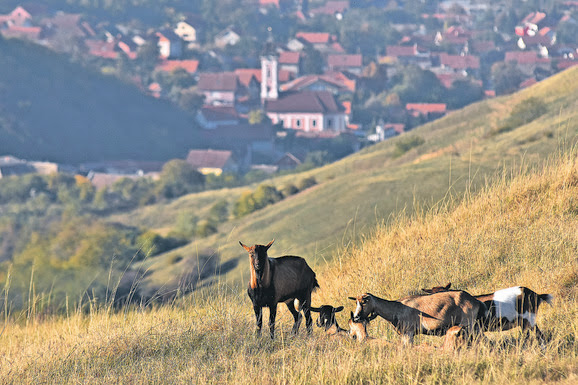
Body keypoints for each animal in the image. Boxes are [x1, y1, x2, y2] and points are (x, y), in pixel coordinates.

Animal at [348, 290, 484, 344]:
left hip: (469, 325)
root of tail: (475, 301)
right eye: (356, 302)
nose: (356, 318)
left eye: (364, 302)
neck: (396, 308)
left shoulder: (408, 333)